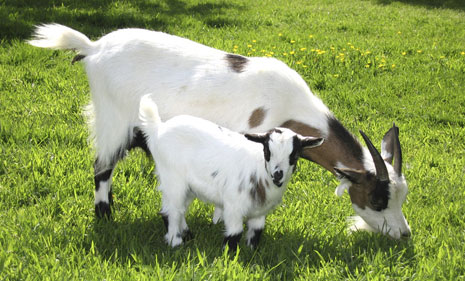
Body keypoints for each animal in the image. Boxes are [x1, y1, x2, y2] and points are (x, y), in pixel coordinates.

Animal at [138, 94, 322, 247]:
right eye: (267, 151)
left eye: (295, 155)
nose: (277, 175)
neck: (259, 171)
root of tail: (158, 128)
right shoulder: (234, 206)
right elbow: (235, 234)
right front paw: (229, 258)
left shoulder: (259, 213)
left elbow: (256, 234)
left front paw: (252, 256)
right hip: (172, 177)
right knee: (171, 211)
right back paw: (175, 243)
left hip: (188, 185)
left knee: (179, 209)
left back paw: (188, 235)